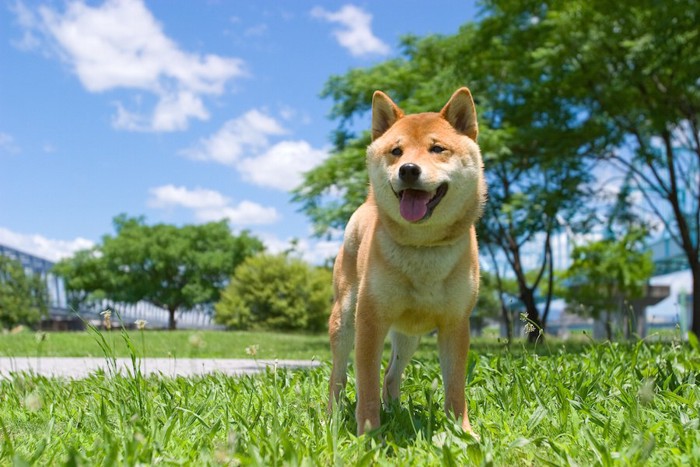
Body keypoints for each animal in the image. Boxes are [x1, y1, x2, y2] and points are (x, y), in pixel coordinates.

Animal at [330, 86, 486, 436]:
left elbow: (455, 387)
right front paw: (369, 433)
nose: (409, 169)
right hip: (345, 318)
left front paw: (464, 432)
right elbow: (366, 384)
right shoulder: (369, 320)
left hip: (409, 335)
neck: (423, 246)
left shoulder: (456, 324)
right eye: (396, 151)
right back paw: (332, 416)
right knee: (339, 375)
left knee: (391, 375)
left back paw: (396, 409)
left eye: (437, 148)